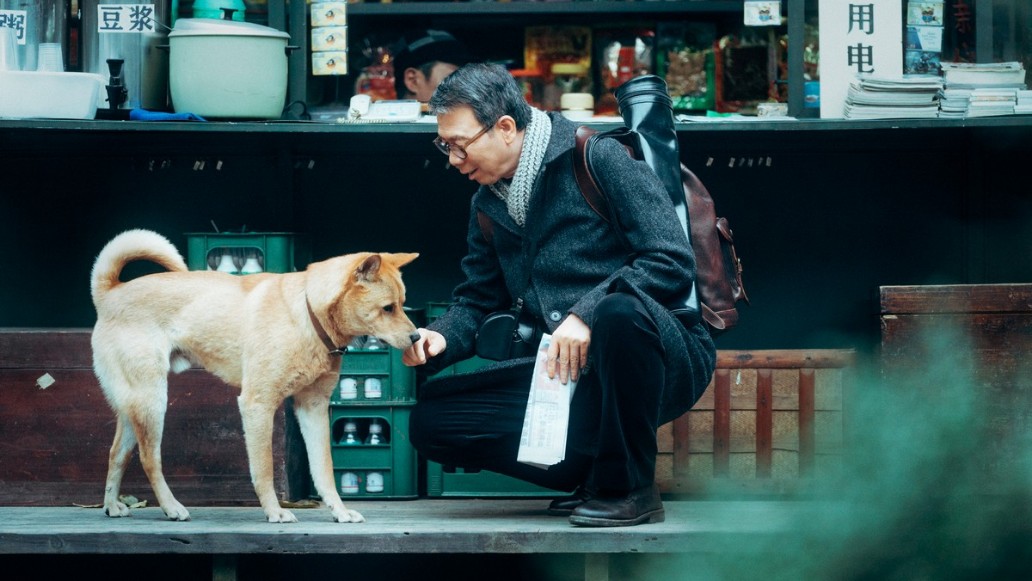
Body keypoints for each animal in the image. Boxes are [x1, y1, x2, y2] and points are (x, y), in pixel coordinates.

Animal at [89, 230, 418, 524]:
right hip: (153, 402)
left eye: (402, 304)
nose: (416, 337)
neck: (307, 313)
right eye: (388, 308)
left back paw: (112, 505)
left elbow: (324, 469)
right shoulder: (257, 404)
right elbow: (263, 469)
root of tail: (110, 292)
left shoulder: (313, 407)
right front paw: (274, 512)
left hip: (134, 405)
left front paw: (339, 511)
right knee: (149, 460)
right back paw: (172, 508)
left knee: (116, 453)